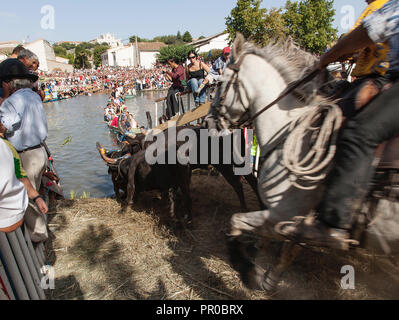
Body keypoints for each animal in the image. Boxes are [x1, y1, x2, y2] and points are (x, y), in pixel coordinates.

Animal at [206, 34, 399, 290]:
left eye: (220, 83)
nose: (208, 121)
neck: (290, 134)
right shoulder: (287, 219)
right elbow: (284, 247)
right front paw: (267, 273)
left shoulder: (282, 214)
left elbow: (237, 223)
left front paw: (250, 270)